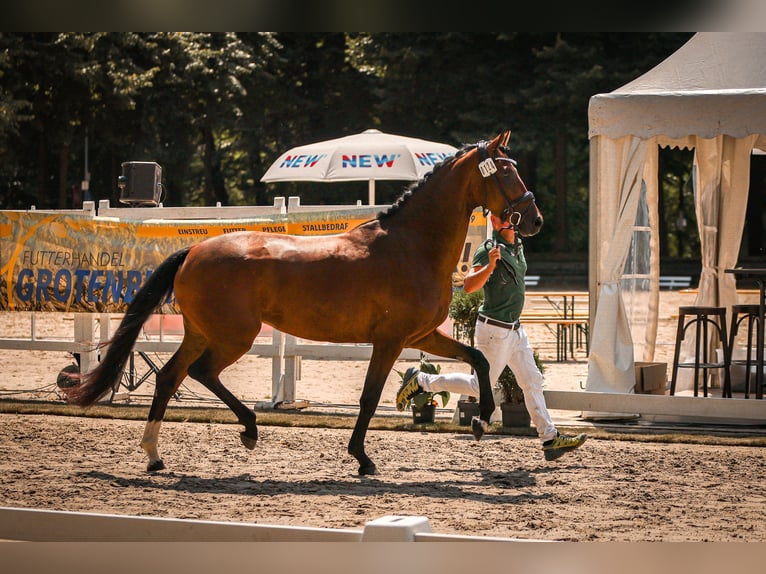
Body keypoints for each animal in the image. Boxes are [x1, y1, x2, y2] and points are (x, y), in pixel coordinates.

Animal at [67, 130, 544, 476]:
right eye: (505, 172)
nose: (535, 220)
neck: (411, 245)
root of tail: (194, 251)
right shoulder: (390, 341)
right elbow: (370, 397)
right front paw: (362, 459)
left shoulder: (423, 334)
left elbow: (478, 358)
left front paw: (482, 418)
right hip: (234, 336)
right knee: (201, 373)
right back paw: (249, 429)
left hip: (201, 332)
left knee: (169, 377)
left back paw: (154, 455)